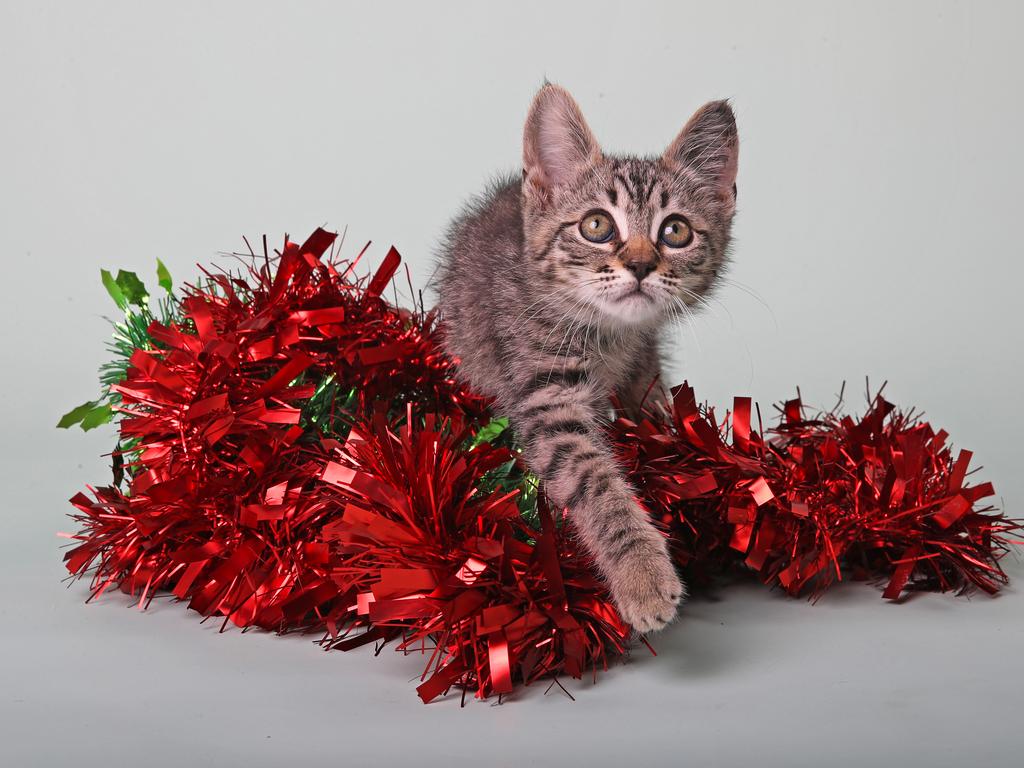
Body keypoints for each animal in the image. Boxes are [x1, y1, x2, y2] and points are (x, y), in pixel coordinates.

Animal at [436, 83, 741, 630]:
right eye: (597, 225)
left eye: (676, 231)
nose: (640, 265)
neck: (608, 335)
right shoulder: (546, 396)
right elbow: (594, 479)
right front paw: (642, 574)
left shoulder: (644, 359)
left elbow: (652, 407)